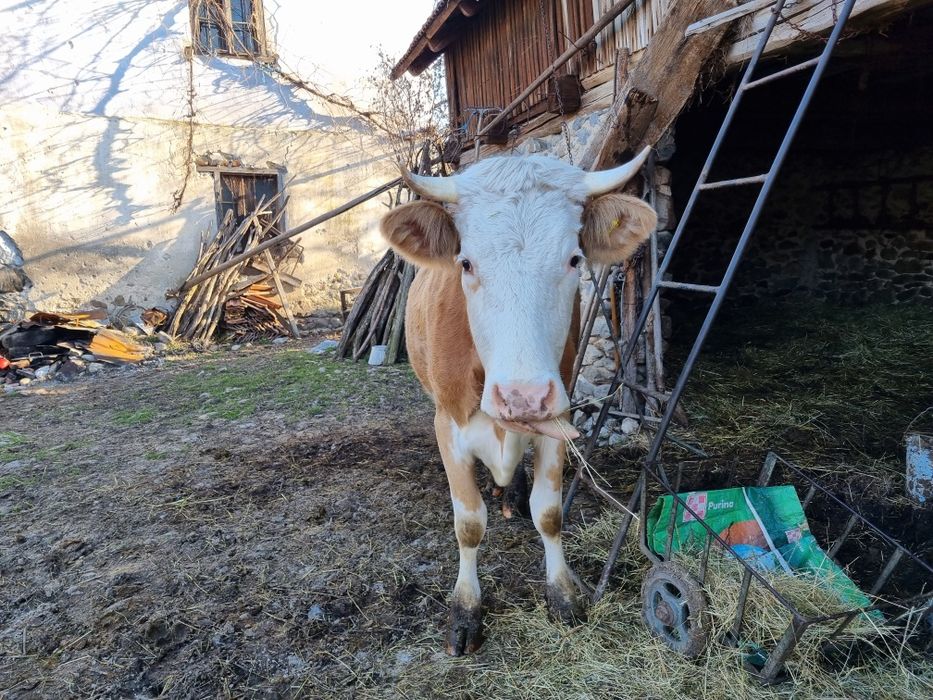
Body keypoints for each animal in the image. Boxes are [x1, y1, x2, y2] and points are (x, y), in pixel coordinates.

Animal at [380, 148, 657, 656]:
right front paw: (466, 609)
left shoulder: (558, 418)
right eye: (466, 263)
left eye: (574, 259)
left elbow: (549, 514)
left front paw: (563, 596)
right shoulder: (448, 425)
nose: (522, 396)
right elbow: (469, 523)